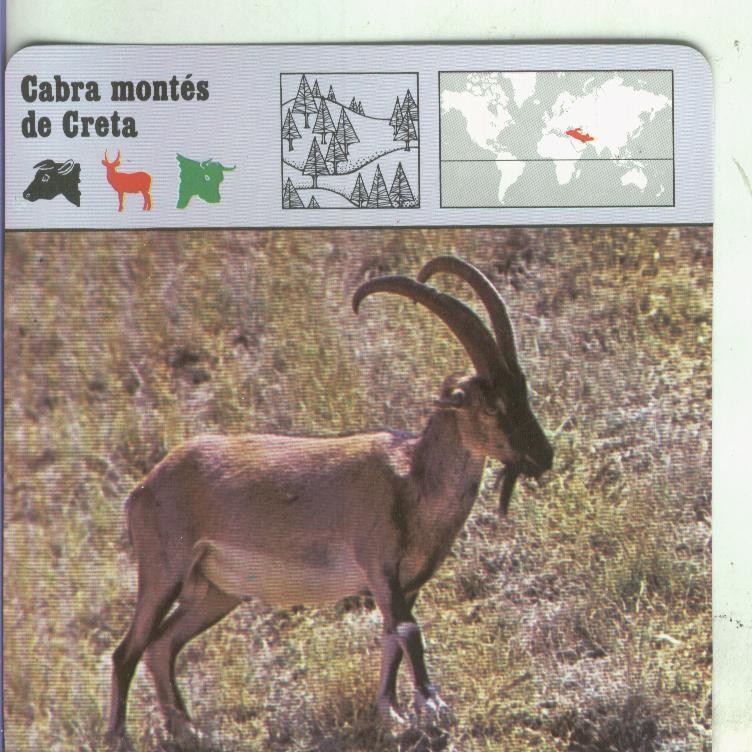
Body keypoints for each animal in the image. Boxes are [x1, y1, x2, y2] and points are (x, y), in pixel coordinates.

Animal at [106, 256, 553, 747]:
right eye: (490, 407)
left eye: (524, 392)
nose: (543, 456)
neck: (413, 481)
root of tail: (143, 490)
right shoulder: (379, 567)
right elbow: (408, 632)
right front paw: (431, 708)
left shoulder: (407, 583)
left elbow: (391, 640)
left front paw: (393, 715)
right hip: (163, 569)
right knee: (127, 650)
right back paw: (119, 736)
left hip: (215, 593)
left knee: (161, 646)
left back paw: (188, 731)